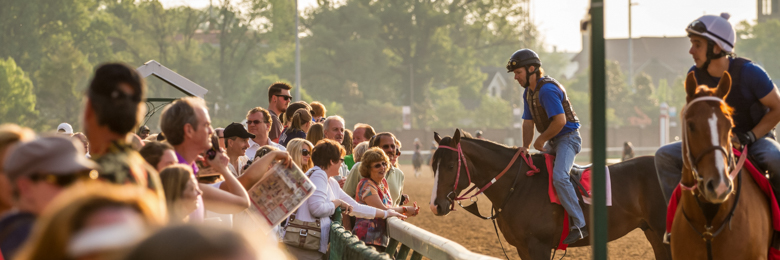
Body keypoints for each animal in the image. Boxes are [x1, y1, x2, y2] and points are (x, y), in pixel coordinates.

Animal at [426, 129, 672, 258]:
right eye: (433, 165)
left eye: (450, 166)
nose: (435, 205)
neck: (518, 185)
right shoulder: (523, 248)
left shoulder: (539, 246)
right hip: (654, 234)